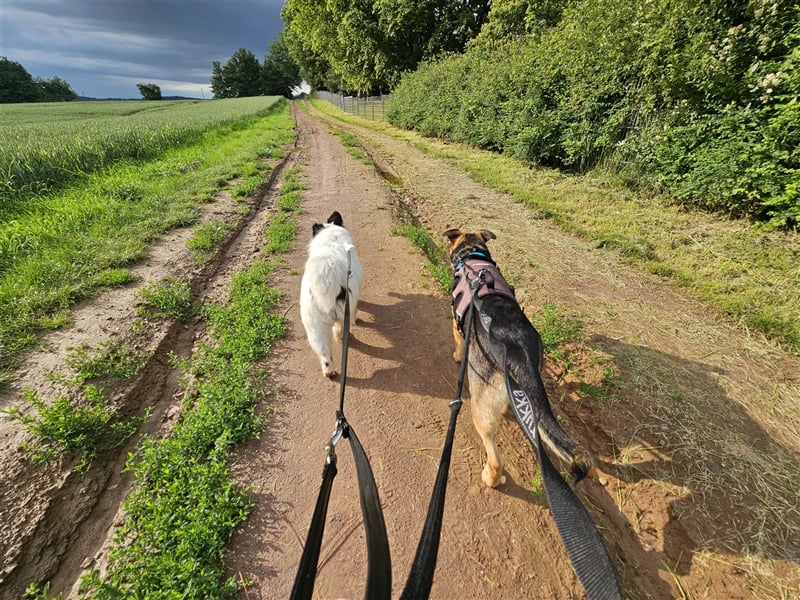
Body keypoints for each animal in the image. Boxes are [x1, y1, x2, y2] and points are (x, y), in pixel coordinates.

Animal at [300, 211, 362, 378]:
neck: (331, 240)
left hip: (314, 327)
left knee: (324, 352)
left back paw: (328, 371)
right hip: (342, 313)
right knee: (340, 329)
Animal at [444, 229, 592, 488]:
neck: (472, 256)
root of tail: (518, 348)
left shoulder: (456, 323)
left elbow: (459, 344)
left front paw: (456, 356)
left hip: (479, 408)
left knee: (494, 456)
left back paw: (491, 478)